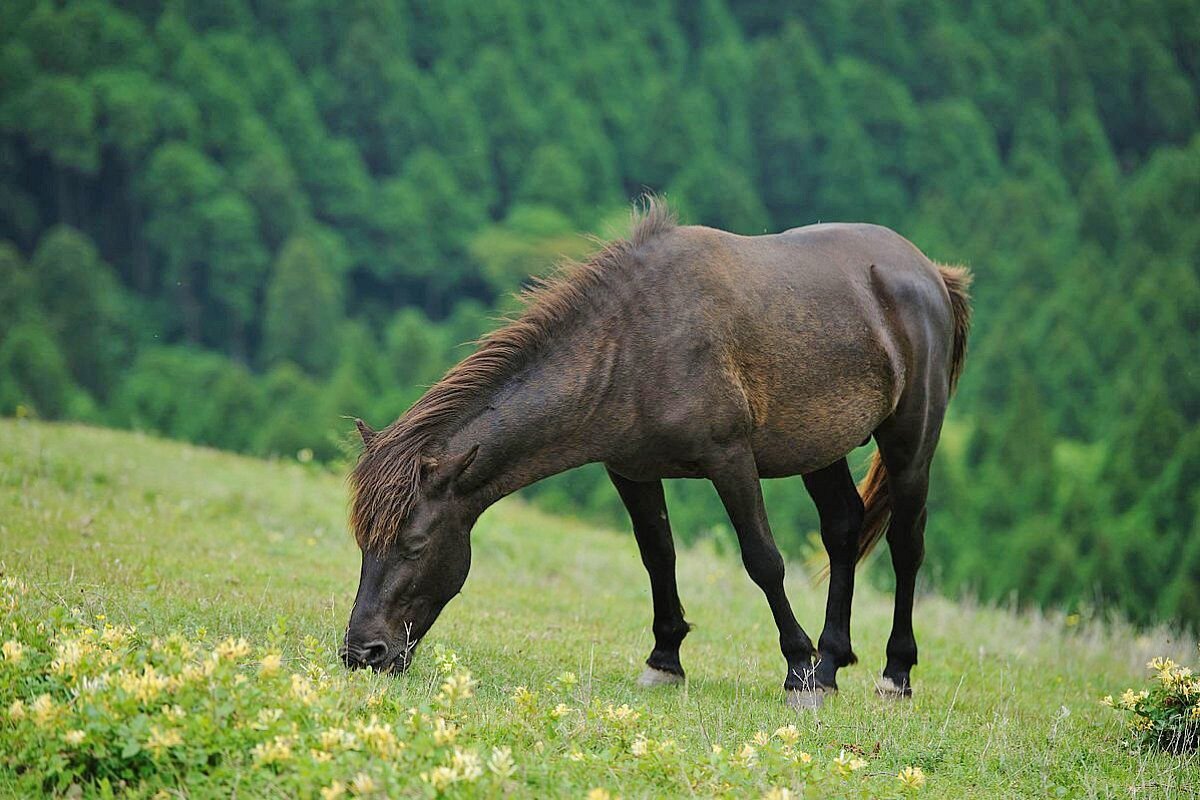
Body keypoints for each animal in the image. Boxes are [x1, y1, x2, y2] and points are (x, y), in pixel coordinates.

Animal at [343, 199, 969, 705]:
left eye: (414, 544)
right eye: (363, 541)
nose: (363, 654)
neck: (633, 343)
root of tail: (931, 274)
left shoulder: (729, 461)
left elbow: (762, 559)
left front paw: (796, 667)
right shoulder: (630, 471)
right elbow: (657, 555)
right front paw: (665, 661)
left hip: (911, 443)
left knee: (906, 544)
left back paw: (893, 673)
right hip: (819, 449)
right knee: (843, 530)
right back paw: (833, 662)